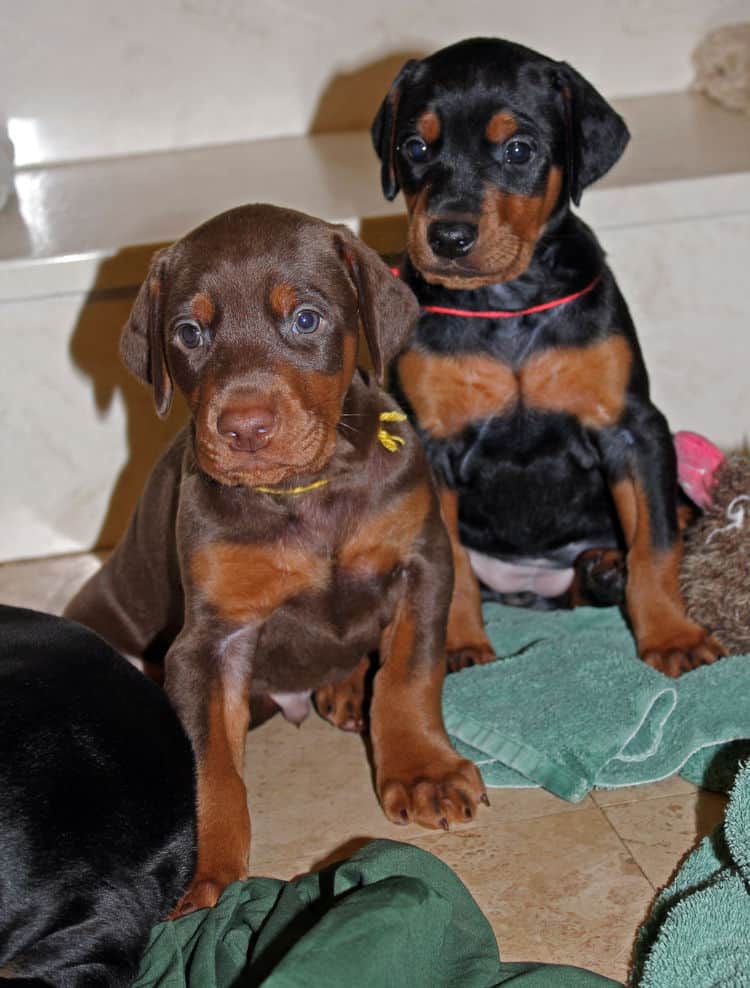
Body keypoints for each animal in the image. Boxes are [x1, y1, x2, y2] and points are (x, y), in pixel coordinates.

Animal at [63, 203, 488, 920]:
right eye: (188, 332)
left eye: (307, 319)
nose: (245, 428)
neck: (305, 490)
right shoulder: (208, 641)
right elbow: (210, 768)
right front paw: (207, 870)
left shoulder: (422, 561)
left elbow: (410, 673)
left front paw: (421, 770)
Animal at [374, 36, 724, 680]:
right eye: (415, 147)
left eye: (519, 149)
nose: (448, 238)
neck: (507, 304)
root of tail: (530, 586)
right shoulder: (432, 444)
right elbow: (450, 563)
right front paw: (457, 645)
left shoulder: (633, 428)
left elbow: (657, 543)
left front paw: (673, 637)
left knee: (669, 527)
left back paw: (605, 567)